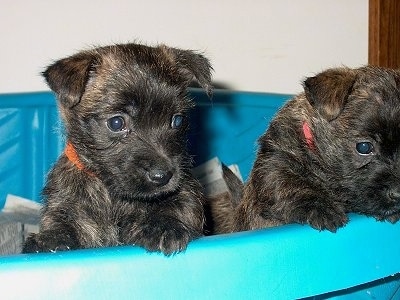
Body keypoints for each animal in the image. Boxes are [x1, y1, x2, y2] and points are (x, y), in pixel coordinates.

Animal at [22, 42, 212, 255]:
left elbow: (181, 204)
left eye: (177, 120)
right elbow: (61, 219)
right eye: (116, 123)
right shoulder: (64, 203)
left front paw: (164, 226)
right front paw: (50, 239)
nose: (162, 176)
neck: (112, 195)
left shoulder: (187, 190)